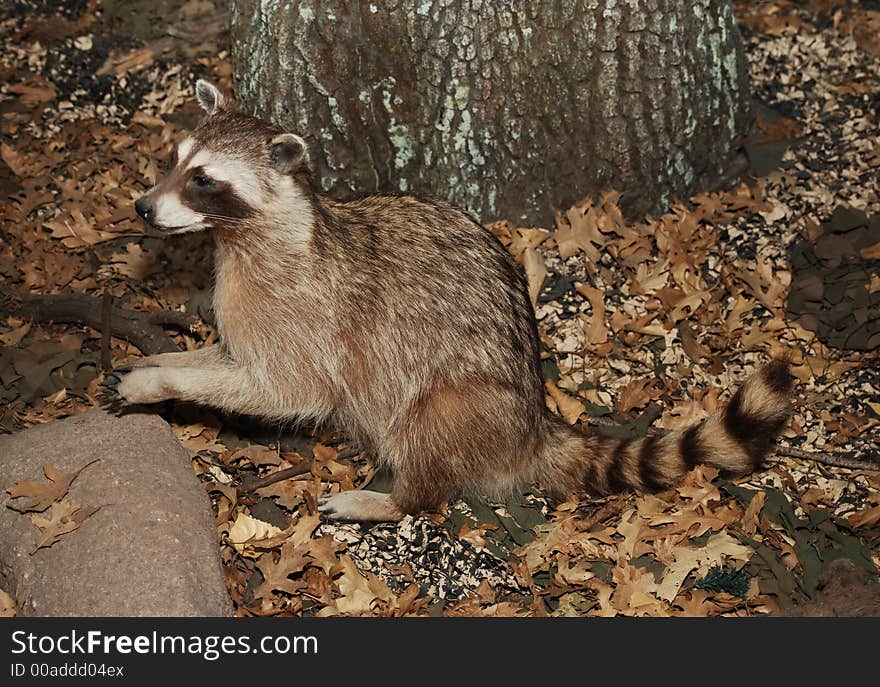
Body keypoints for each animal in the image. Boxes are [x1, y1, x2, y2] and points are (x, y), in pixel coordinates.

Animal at [101, 80, 792, 520]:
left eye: (203, 180)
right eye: (175, 160)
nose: (143, 207)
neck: (244, 238)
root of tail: (532, 423)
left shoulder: (307, 314)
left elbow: (284, 390)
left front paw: (160, 382)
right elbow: (227, 356)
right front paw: (162, 363)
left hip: (463, 400)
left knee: (429, 426)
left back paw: (397, 498)